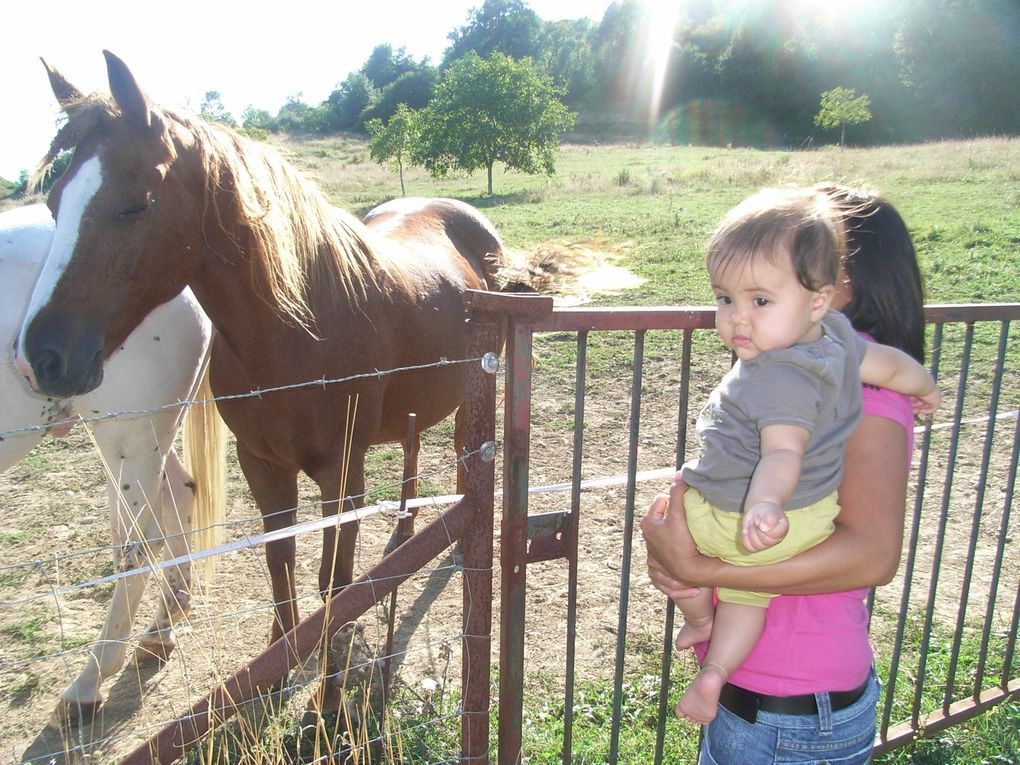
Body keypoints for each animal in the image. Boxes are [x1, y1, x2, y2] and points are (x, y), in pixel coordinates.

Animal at [19, 52, 514, 714]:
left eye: (134, 205)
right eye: (53, 203)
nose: (42, 357)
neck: (297, 327)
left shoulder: (341, 472)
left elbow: (334, 579)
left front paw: (325, 699)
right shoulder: (263, 463)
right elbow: (280, 559)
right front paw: (279, 662)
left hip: (469, 393)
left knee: (464, 451)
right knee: (411, 451)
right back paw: (407, 534)